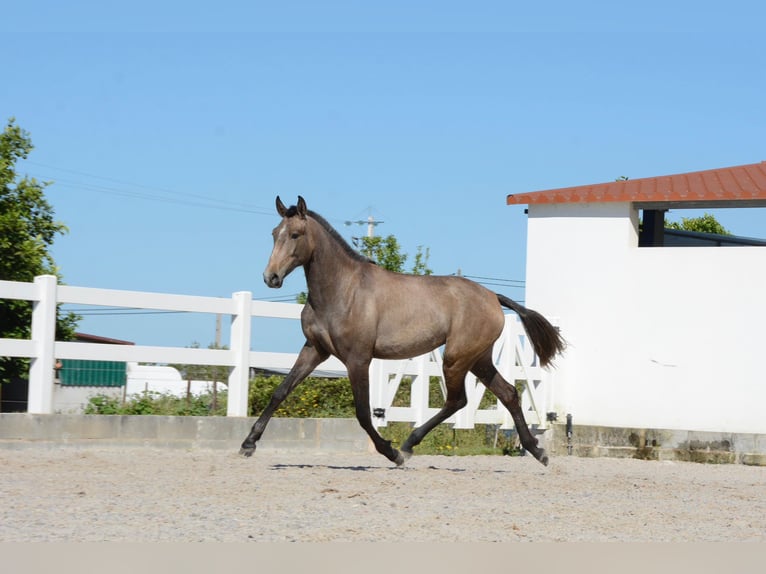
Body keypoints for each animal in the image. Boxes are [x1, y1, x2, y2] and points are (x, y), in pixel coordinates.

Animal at [243, 198, 568, 468]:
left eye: (295, 235)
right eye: (274, 233)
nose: (271, 277)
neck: (342, 290)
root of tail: (492, 297)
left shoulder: (358, 359)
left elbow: (363, 413)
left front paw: (391, 453)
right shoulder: (314, 350)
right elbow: (280, 392)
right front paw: (248, 444)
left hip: (456, 358)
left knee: (458, 401)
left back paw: (408, 446)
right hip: (478, 359)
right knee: (508, 394)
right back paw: (537, 451)